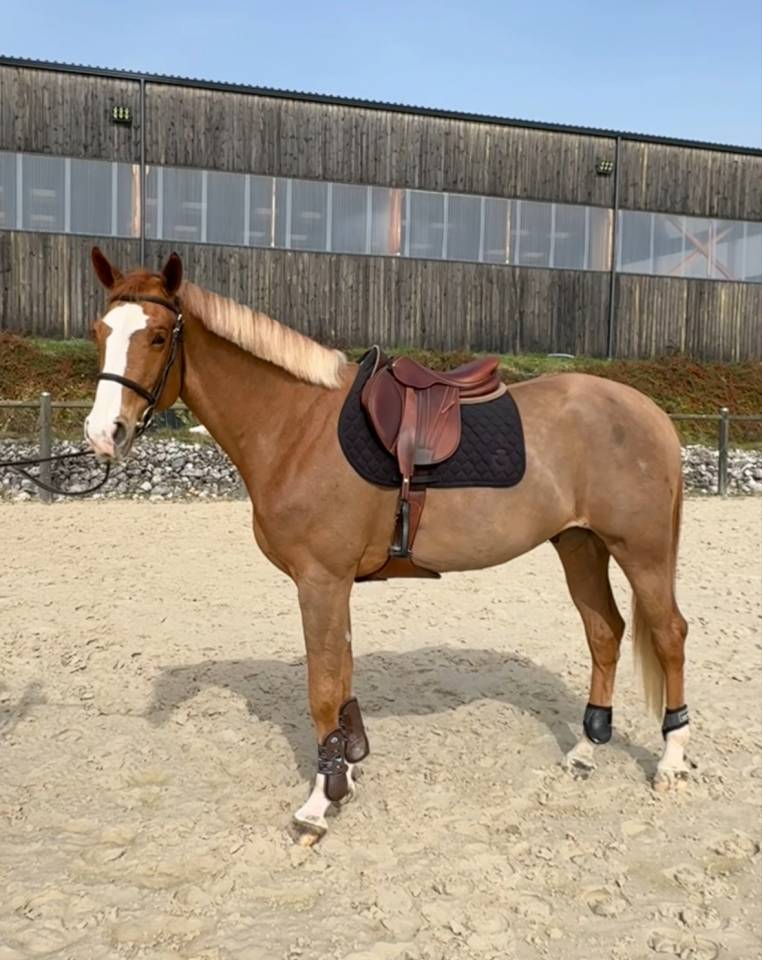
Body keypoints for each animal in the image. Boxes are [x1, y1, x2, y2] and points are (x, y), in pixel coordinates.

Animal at [84, 247, 690, 844]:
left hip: (641, 551)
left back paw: (672, 761)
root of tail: (650, 412)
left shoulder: (321, 580)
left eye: (157, 337)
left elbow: (323, 688)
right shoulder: (334, 584)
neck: (296, 426)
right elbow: (342, 676)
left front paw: (318, 804)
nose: (103, 434)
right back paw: (587, 749)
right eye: (99, 331)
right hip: (580, 543)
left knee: (668, 635)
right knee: (604, 632)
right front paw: (345, 775)